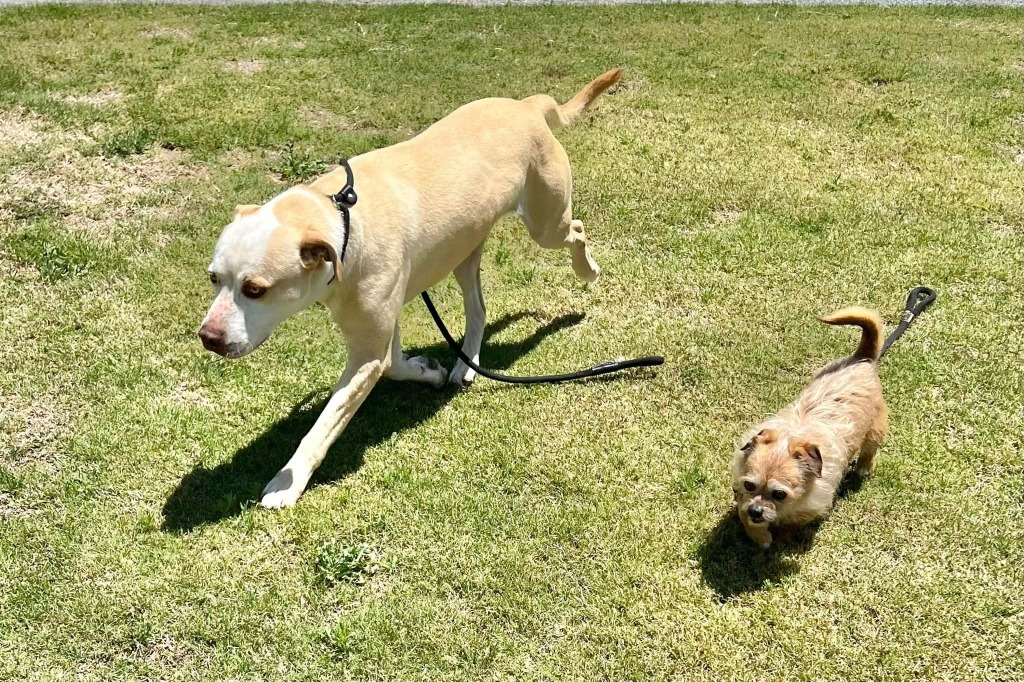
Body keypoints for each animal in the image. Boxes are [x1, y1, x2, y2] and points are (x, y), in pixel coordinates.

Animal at [196, 69, 618, 503]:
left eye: (255, 289)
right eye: (214, 278)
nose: (208, 337)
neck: (342, 222)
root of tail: (526, 105)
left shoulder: (366, 353)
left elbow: (324, 424)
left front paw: (287, 482)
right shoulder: (381, 325)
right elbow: (395, 366)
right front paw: (427, 370)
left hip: (545, 223)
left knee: (576, 230)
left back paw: (587, 271)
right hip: (464, 249)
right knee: (478, 308)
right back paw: (465, 363)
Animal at [729, 307, 888, 548]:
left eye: (779, 494)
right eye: (749, 485)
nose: (756, 511)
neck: (792, 436)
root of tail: (862, 359)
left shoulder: (812, 505)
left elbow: (794, 523)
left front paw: (782, 537)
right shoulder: (742, 496)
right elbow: (743, 513)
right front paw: (760, 536)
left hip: (875, 430)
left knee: (870, 451)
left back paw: (863, 467)